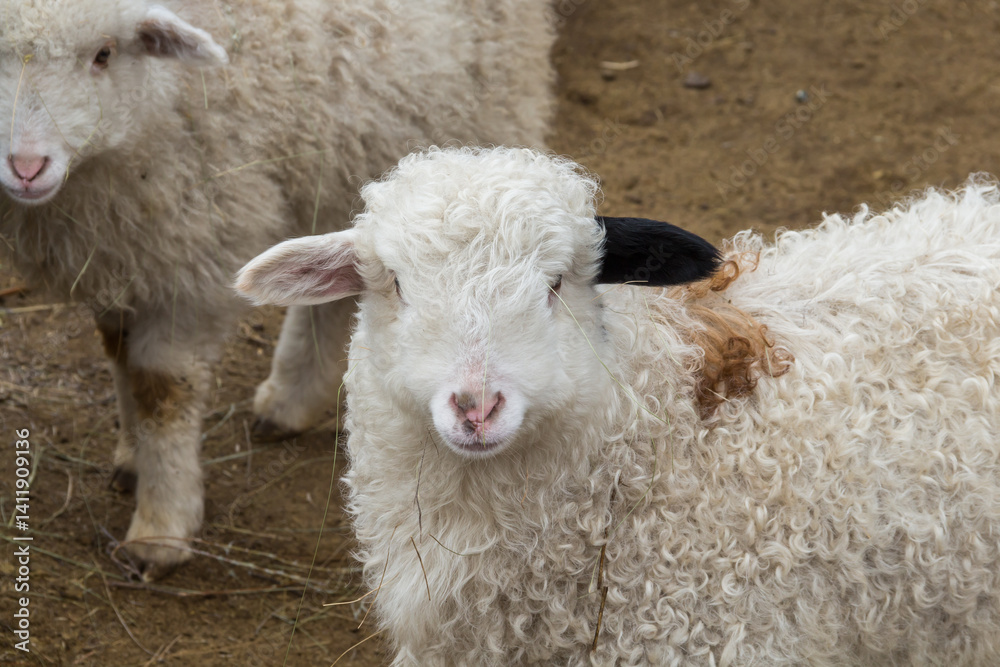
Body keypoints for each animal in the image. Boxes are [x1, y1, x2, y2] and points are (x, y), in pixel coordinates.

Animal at [0, 1, 555, 578]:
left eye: (104, 53)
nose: (26, 168)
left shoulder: (196, 247)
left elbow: (161, 388)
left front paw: (161, 524)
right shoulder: (122, 250)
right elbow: (118, 354)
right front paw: (133, 457)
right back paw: (291, 399)